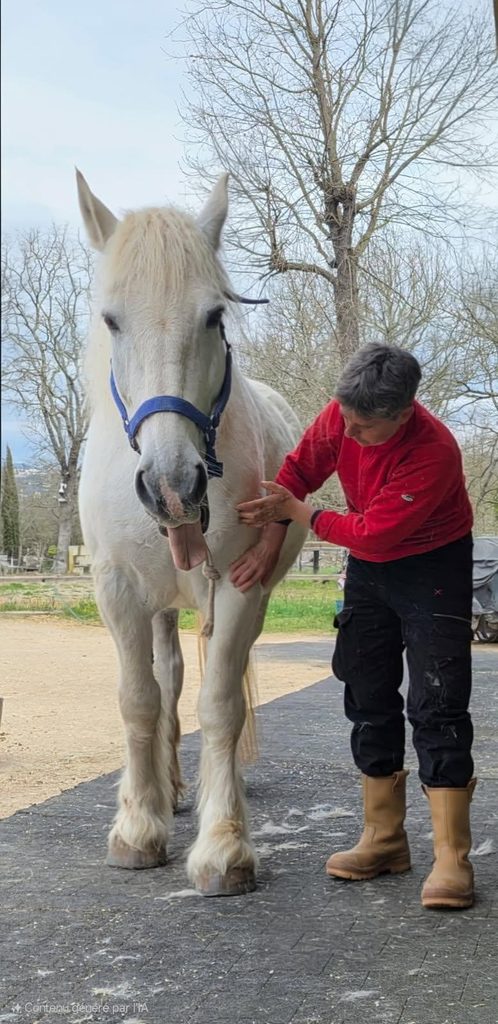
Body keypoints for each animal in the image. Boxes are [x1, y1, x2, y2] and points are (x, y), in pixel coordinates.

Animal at [76, 170, 307, 896]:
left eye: (213, 317)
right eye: (111, 319)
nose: (173, 487)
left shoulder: (238, 588)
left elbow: (221, 706)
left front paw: (224, 845)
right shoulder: (118, 591)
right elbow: (139, 701)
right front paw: (137, 826)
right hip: (158, 606)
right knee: (167, 680)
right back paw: (164, 789)